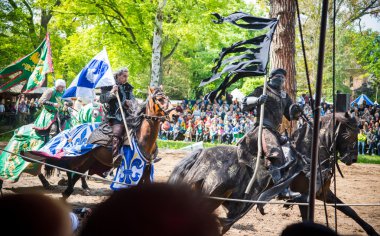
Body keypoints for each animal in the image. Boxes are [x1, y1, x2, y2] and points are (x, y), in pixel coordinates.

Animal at [23, 86, 177, 199]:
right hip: (78, 158)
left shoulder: (146, 170)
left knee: (75, 175)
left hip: (87, 161)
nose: (175, 115)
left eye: (168, 98)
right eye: (159, 99)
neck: (141, 136)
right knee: (70, 170)